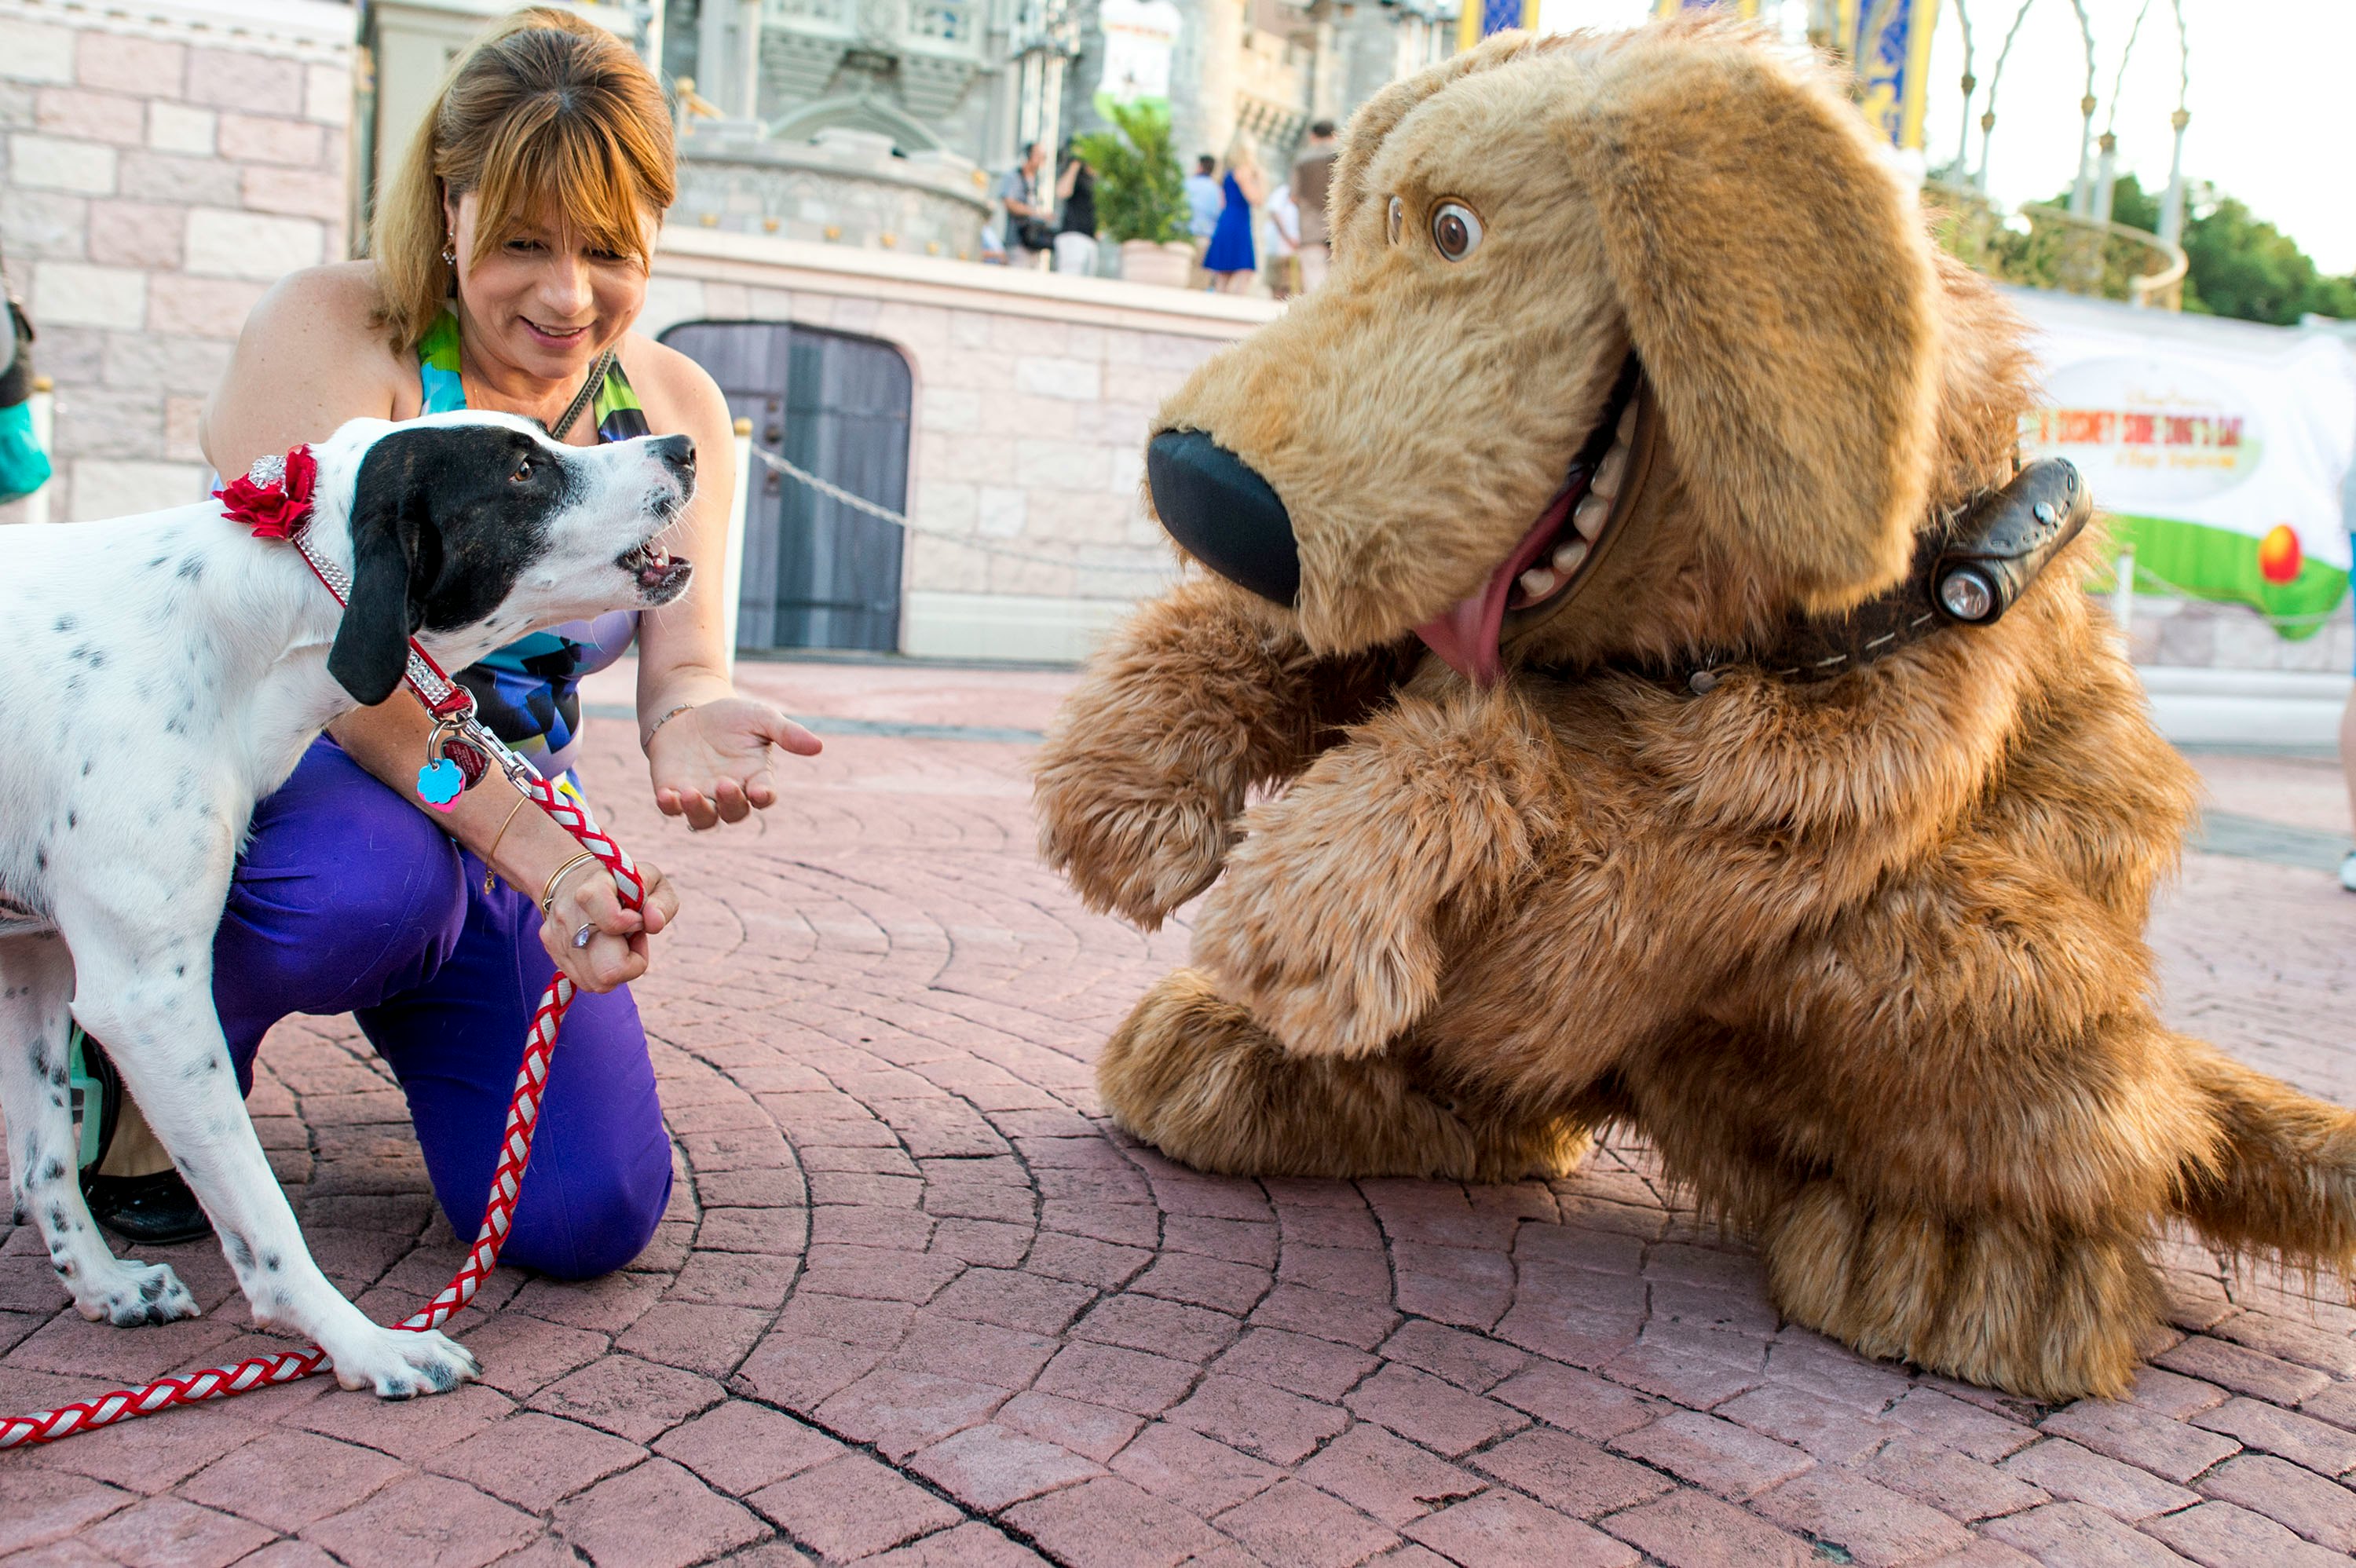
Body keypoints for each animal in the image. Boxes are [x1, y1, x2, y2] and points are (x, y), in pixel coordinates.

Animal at [0, 409, 693, 1384]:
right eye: (523, 470)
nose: (683, 446)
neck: (237, 627)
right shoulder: (146, 996)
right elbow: (262, 1214)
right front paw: (362, 1340)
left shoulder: (31, 955)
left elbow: (44, 1161)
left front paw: (100, 1285)